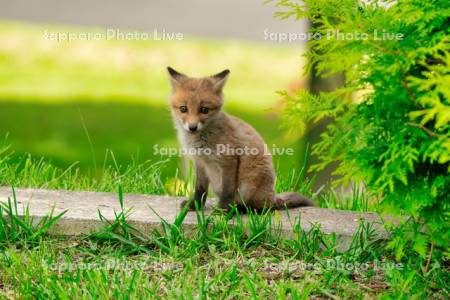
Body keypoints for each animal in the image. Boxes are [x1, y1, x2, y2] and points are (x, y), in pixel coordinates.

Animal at [167, 67, 314, 211]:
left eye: (204, 109)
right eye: (183, 109)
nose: (192, 127)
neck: (202, 140)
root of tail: (273, 198)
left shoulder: (229, 159)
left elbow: (227, 190)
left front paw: (223, 211)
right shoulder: (200, 162)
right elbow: (200, 189)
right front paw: (195, 205)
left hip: (249, 187)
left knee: (261, 208)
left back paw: (240, 209)